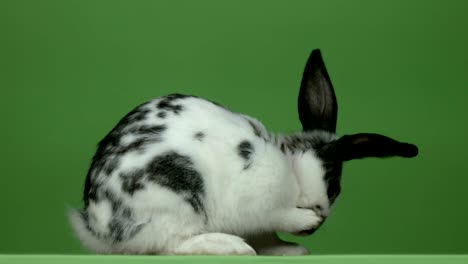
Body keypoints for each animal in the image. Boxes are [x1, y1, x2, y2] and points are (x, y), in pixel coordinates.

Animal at [67, 48, 418, 255]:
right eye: (335, 184)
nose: (319, 220)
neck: (291, 166)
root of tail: (98, 228)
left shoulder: (263, 223)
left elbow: (269, 236)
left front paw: (287, 250)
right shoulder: (259, 205)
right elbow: (279, 216)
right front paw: (301, 222)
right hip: (173, 202)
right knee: (172, 245)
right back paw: (230, 246)